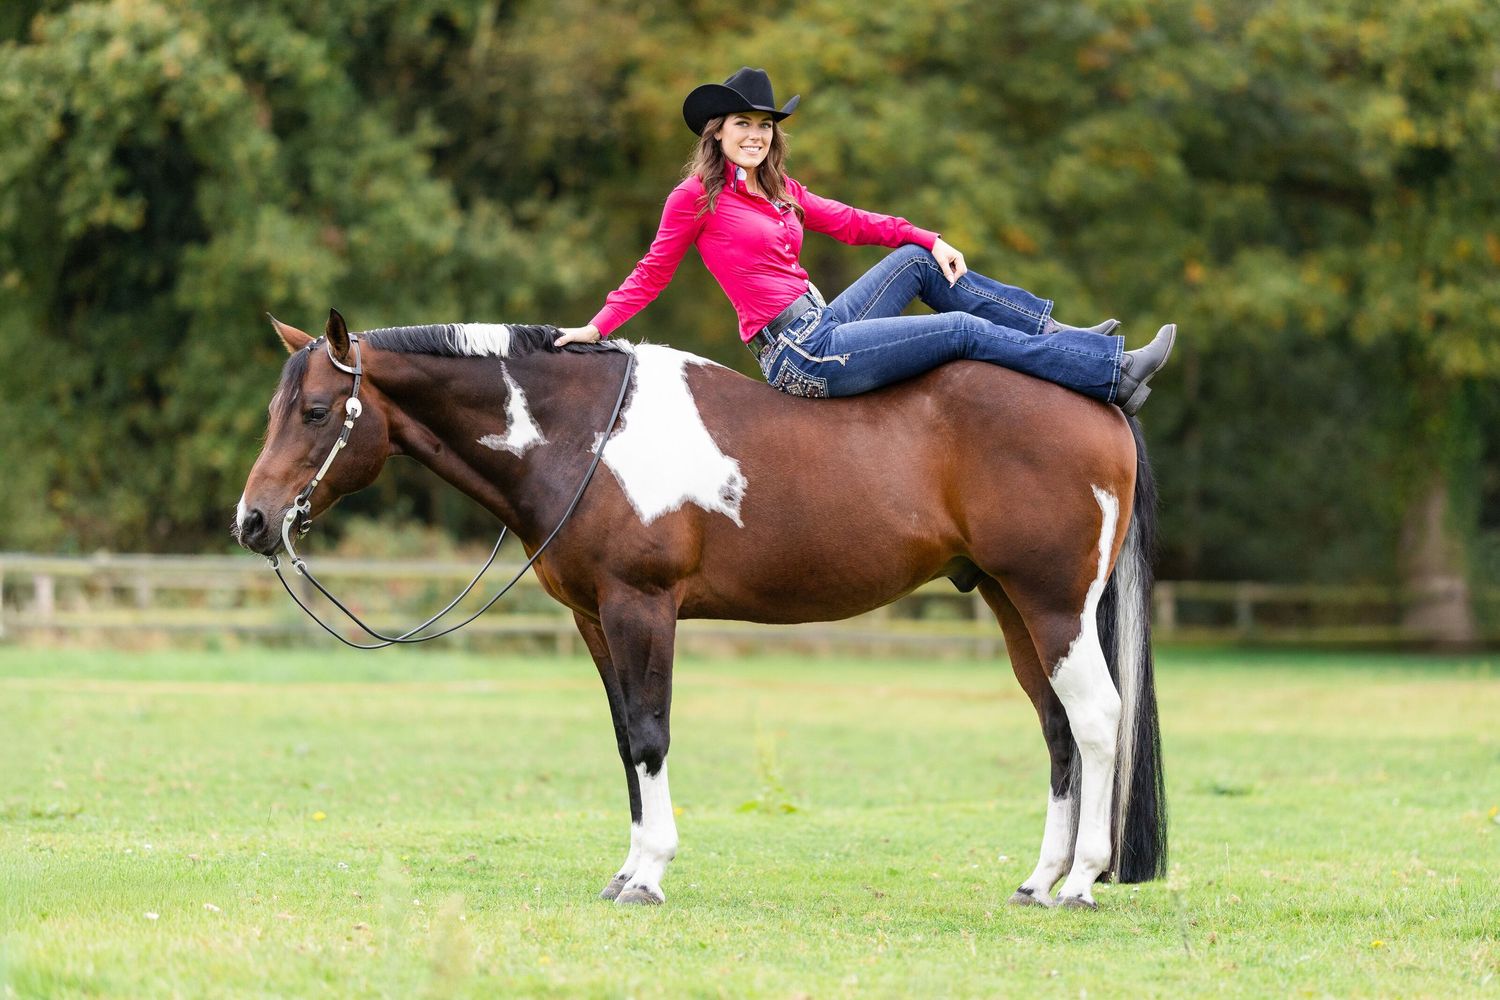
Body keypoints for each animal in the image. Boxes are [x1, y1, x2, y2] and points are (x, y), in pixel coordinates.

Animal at [233, 309, 1167, 909]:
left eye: (315, 411)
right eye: (275, 409)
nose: (253, 521)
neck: (587, 434)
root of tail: (1103, 407)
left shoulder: (641, 608)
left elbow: (651, 735)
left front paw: (648, 877)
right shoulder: (594, 619)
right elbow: (624, 740)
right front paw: (626, 869)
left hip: (1055, 604)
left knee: (1096, 719)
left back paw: (1081, 882)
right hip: (1015, 607)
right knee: (1057, 730)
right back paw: (1038, 880)